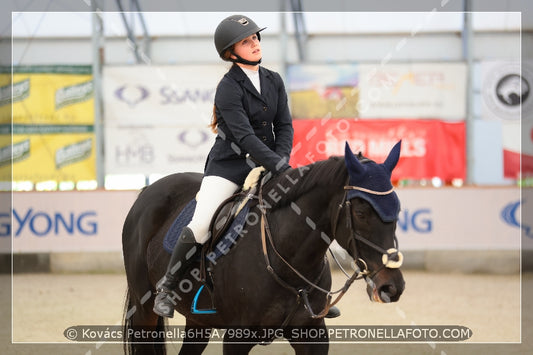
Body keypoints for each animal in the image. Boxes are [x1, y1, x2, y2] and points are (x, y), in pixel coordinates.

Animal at [120, 140, 404, 354]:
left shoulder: (313, 335)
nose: (392, 287)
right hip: (145, 310)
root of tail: (148, 190)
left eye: (397, 208)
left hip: (198, 320)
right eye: (361, 212)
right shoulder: (237, 337)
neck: (287, 259)